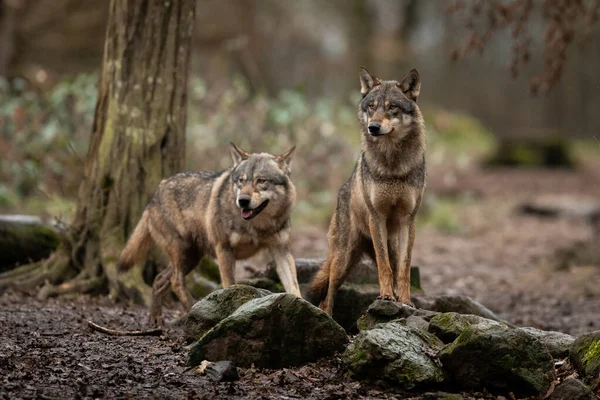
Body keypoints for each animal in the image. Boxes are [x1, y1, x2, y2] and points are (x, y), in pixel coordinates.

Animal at [118, 143, 302, 324]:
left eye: (261, 180)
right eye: (241, 181)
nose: (242, 201)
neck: (257, 226)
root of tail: (156, 193)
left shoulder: (281, 251)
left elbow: (293, 285)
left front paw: (300, 307)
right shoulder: (224, 249)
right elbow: (230, 284)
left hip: (191, 258)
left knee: (159, 279)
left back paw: (155, 319)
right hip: (183, 252)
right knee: (175, 281)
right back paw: (191, 308)